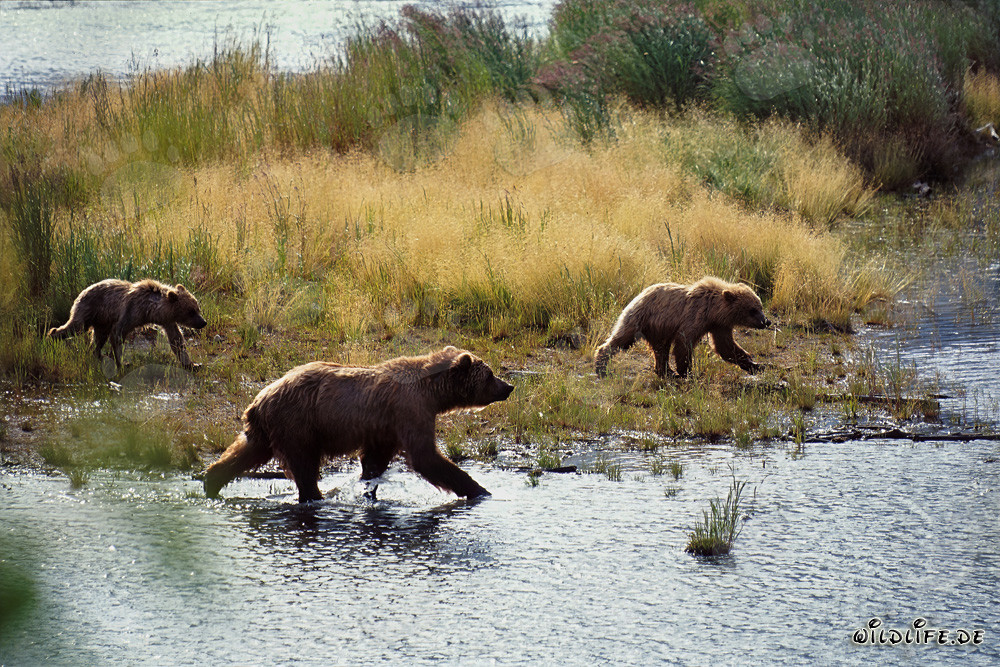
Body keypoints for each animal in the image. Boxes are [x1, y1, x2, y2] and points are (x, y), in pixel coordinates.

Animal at [47, 278, 208, 371]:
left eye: (197, 308)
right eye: (191, 311)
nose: (203, 322)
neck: (151, 310)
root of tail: (84, 290)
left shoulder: (167, 321)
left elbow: (176, 339)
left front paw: (192, 364)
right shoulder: (131, 312)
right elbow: (118, 334)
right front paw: (122, 363)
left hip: (102, 320)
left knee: (99, 337)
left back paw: (98, 354)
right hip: (89, 309)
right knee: (75, 327)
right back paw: (52, 335)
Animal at [203, 346, 514, 503]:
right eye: (489, 375)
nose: (509, 386)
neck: (432, 392)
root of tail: (258, 400)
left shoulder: (385, 426)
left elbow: (375, 459)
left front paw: (369, 489)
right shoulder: (410, 410)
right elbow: (426, 456)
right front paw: (480, 489)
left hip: (268, 430)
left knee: (245, 452)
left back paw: (211, 480)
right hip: (298, 423)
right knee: (304, 465)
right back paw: (315, 496)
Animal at [594, 277, 771, 379]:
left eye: (760, 306)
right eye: (752, 310)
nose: (766, 321)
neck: (713, 311)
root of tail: (639, 294)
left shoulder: (720, 326)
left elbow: (726, 346)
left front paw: (756, 365)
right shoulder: (694, 317)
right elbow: (684, 343)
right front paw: (688, 372)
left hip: (658, 328)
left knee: (660, 349)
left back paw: (666, 371)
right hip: (641, 317)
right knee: (622, 339)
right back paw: (601, 365)